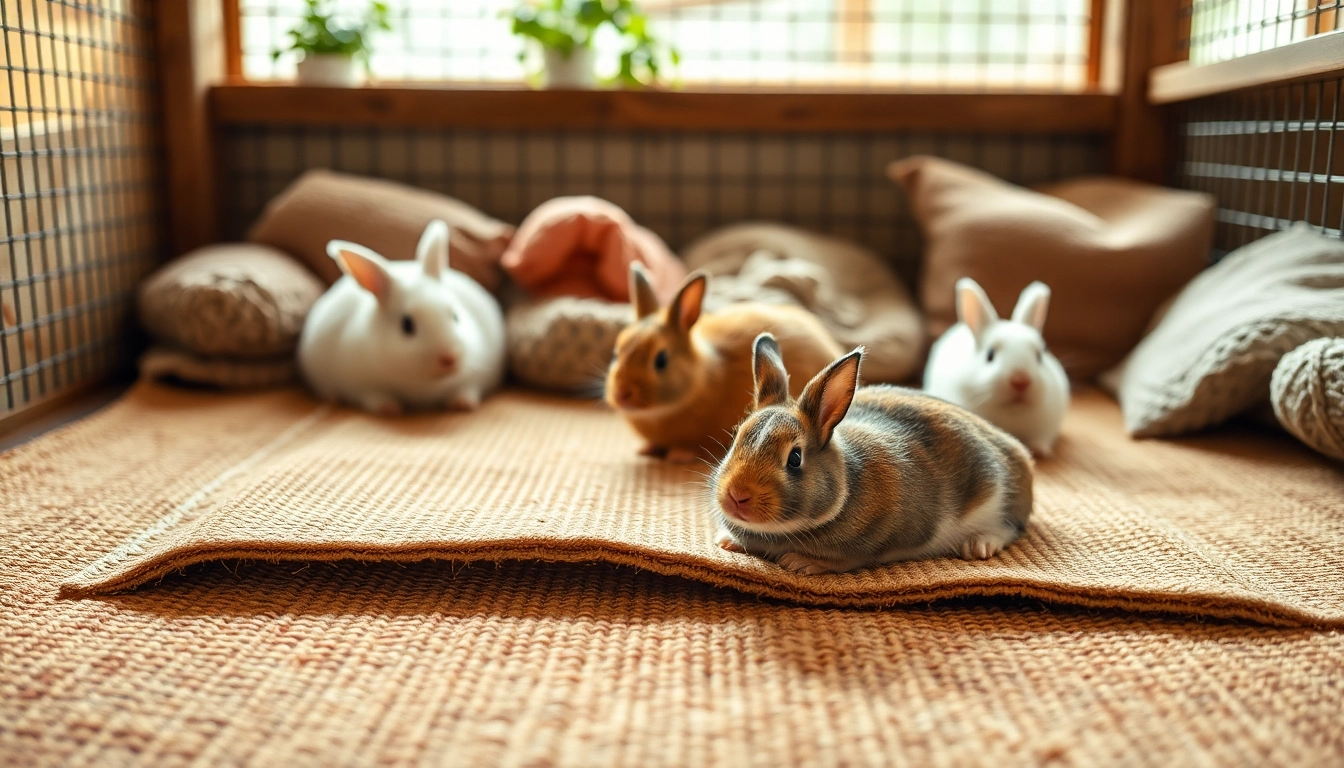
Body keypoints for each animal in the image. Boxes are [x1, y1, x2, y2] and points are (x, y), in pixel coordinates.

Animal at [297, 220, 506, 415]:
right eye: (407, 325)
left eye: (454, 316)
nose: (449, 358)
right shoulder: (361, 385)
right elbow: (374, 396)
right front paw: (389, 408)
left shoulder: (474, 378)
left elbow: (467, 389)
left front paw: (462, 404)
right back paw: (331, 397)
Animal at [711, 333, 1035, 574]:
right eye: (736, 438)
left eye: (795, 459)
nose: (737, 496)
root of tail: (1020, 456)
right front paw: (726, 541)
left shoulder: (877, 539)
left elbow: (847, 560)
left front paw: (800, 562)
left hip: (998, 496)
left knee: (1009, 527)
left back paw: (979, 545)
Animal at [923, 278, 1069, 457]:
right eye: (990, 355)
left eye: (1039, 356)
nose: (1021, 381)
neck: (1012, 412)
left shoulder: (1047, 425)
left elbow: (1041, 438)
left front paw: (1040, 451)